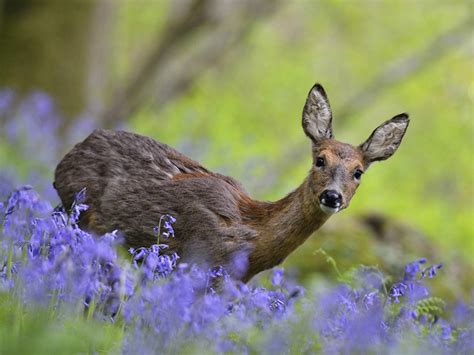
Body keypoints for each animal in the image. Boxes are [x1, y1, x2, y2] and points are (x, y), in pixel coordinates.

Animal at [53, 84, 410, 284]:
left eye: (358, 172)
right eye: (320, 160)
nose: (332, 196)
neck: (253, 238)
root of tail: (70, 154)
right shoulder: (197, 261)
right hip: (83, 216)